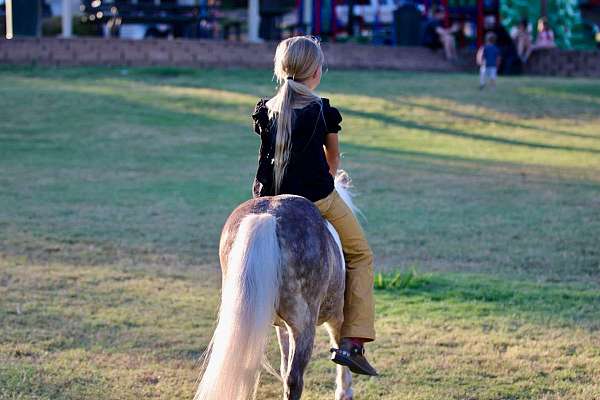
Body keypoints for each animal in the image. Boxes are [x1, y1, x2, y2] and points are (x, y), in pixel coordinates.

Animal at [195, 171, 360, 400]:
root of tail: (268, 216)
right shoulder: (338, 317)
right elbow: (340, 350)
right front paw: (344, 392)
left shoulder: (283, 327)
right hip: (304, 325)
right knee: (294, 379)